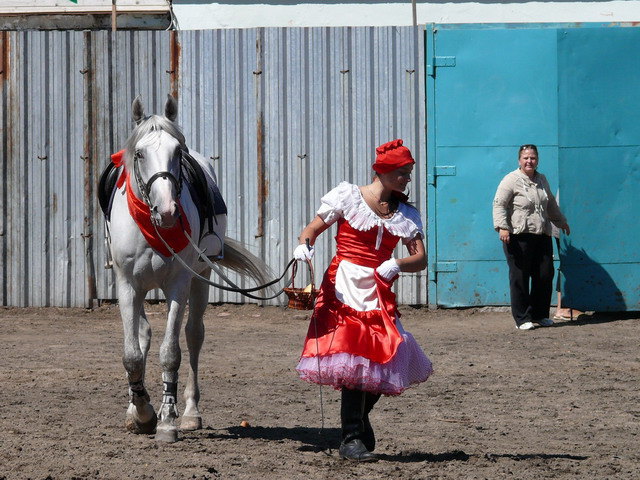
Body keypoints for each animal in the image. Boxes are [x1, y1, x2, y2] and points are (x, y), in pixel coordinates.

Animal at [104, 95, 268, 444]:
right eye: (139, 153)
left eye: (178, 152)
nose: (167, 211)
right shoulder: (127, 285)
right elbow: (132, 354)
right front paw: (140, 412)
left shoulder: (179, 284)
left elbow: (171, 353)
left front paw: (167, 419)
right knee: (143, 335)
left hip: (202, 278)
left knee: (193, 336)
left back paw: (191, 413)